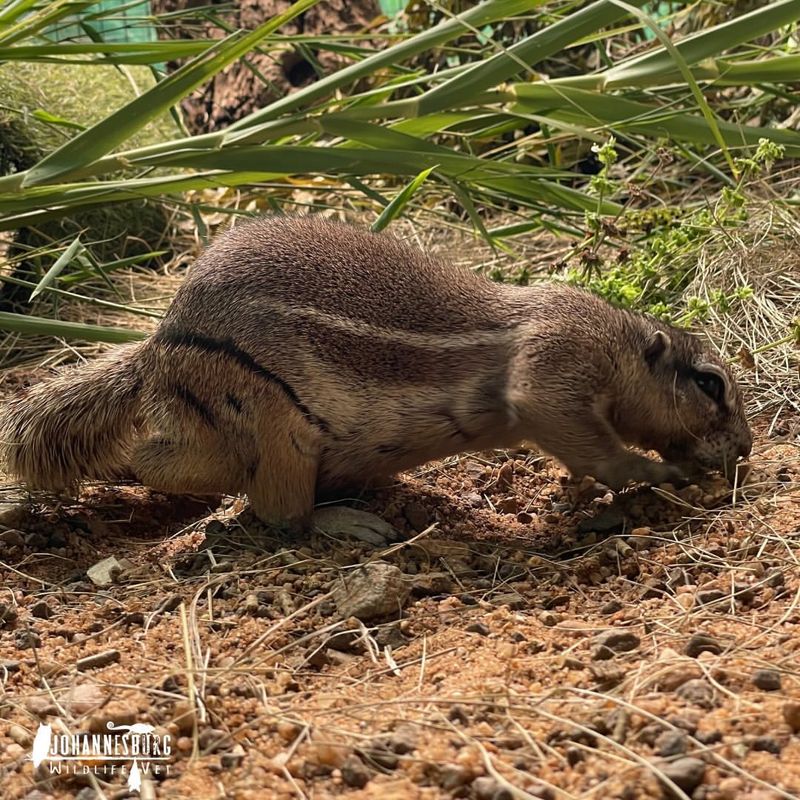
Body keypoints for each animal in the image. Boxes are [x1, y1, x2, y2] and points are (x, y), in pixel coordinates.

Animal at [0, 216, 752, 528]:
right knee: (264, 508)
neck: (621, 342)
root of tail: (157, 344)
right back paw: (348, 526)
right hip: (274, 424)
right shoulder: (559, 363)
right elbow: (579, 433)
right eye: (710, 384)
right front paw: (653, 472)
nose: (744, 449)